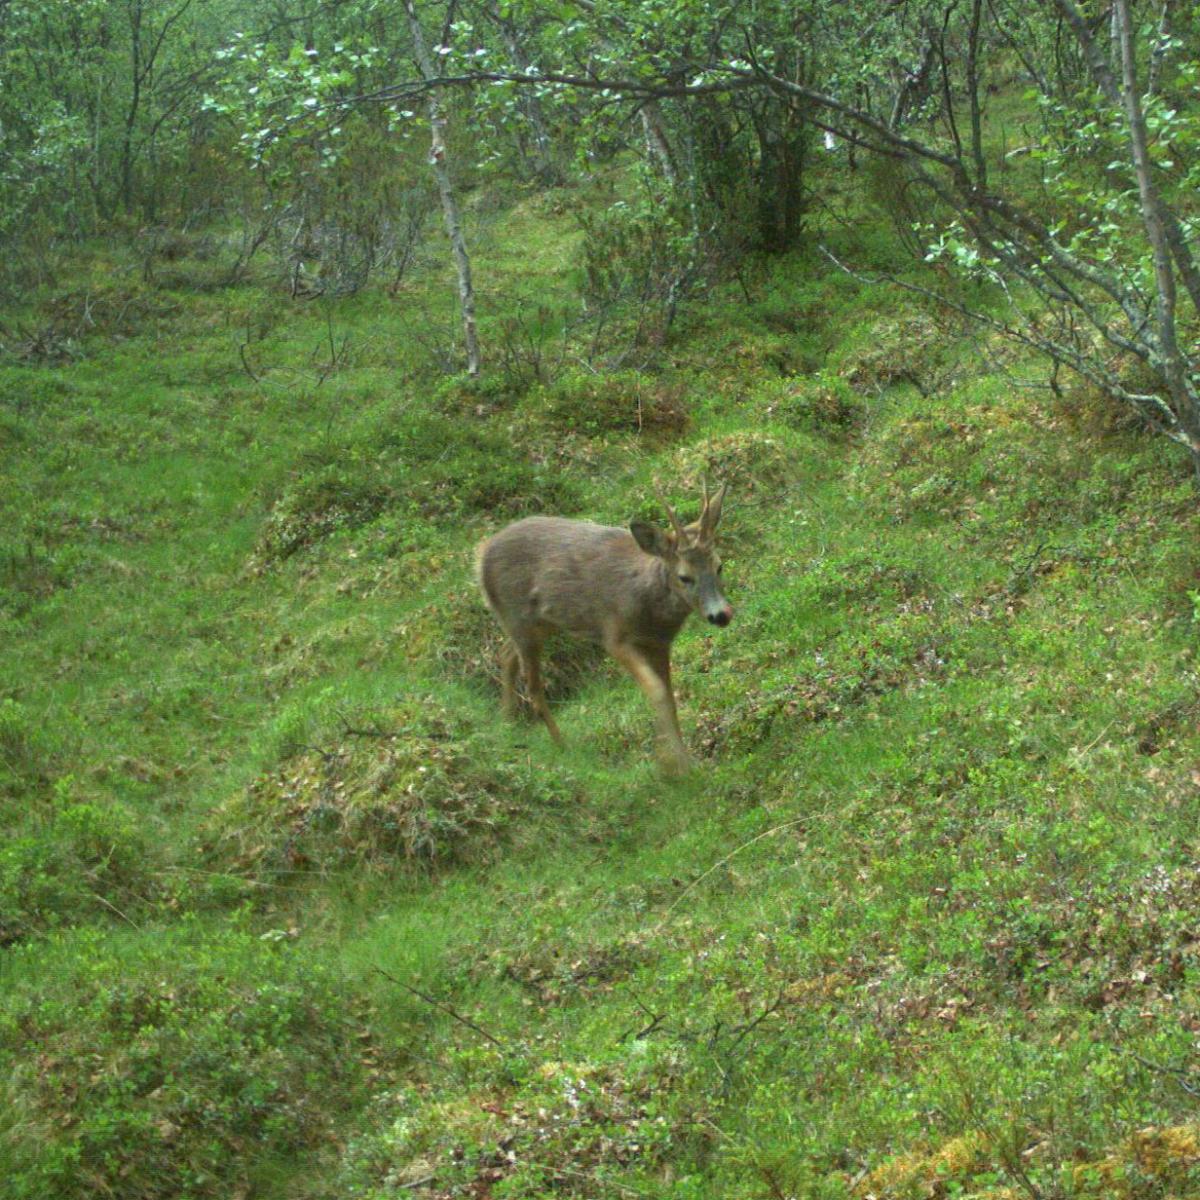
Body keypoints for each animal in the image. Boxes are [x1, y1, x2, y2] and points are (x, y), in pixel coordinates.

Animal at [472, 482, 724, 772]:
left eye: (719, 566)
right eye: (684, 577)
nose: (721, 614)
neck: (647, 602)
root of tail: (481, 556)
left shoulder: (660, 644)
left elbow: (669, 697)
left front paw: (681, 759)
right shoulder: (614, 636)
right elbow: (657, 692)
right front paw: (676, 764)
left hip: (539, 624)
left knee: (506, 654)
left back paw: (505, 722)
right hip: (519, 618)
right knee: (533, 686)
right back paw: (563, 747)